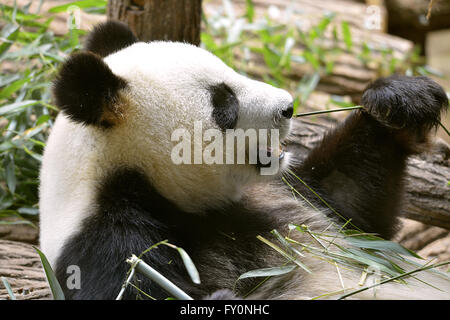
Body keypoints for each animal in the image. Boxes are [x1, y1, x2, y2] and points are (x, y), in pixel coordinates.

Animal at [39, 20, 450, 300]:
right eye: (225, 104)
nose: (288, 107)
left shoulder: (282, 193)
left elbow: (354, 209)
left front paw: (400, 100)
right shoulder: (105, 242)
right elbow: (136, 286)